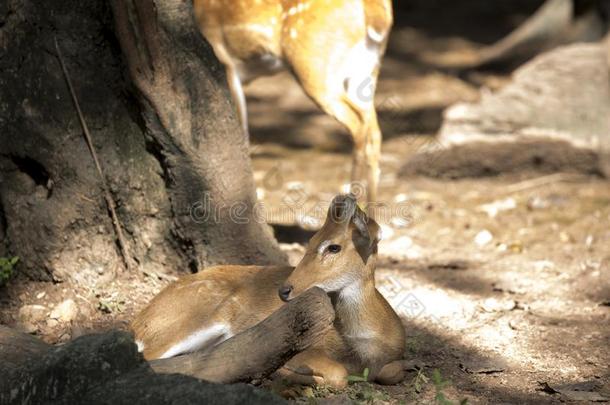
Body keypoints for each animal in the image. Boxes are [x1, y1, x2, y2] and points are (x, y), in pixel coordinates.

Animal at [133, 194, 408, 386]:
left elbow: (394, 371)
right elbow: (337, 374)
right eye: (311, 240)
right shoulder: (306, 347)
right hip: (195, 319)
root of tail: (139, 320)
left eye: (334, 247)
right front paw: (289, 375)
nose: (285, 290)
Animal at [191, 0, 394, 202]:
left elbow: (242, 132)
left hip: (313, 63)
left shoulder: (225, 63)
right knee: (373, 129)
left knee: (358, 122)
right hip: (366, 69)